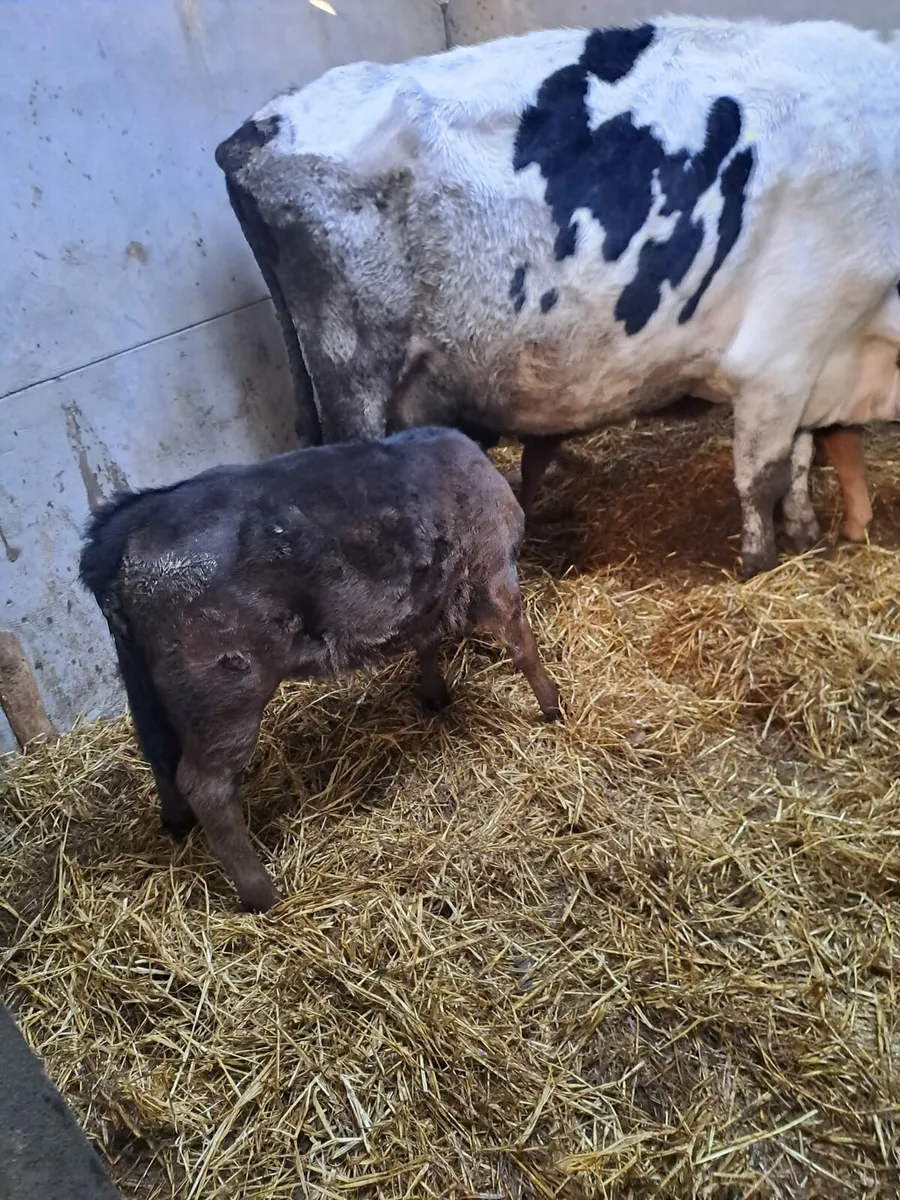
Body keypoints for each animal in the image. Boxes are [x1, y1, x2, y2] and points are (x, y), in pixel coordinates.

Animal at [79, 428, 560, 912]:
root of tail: (133, 523)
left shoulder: (423, 598)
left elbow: (425, 643)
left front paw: (435, 697)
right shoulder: (494, 572)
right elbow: (523, 647)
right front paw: (553, 705)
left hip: (143, 687)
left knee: (158, 754)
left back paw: (177, 824)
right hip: (223, 694)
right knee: (206, 786)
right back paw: (261, 893)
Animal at [215, 16, 900, 579]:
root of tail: (258, 128)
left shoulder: (814, 364)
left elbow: (802, 458)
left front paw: (806, 534)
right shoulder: (777, 353)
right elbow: (762, 475)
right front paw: (760, 564)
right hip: (353, 370)